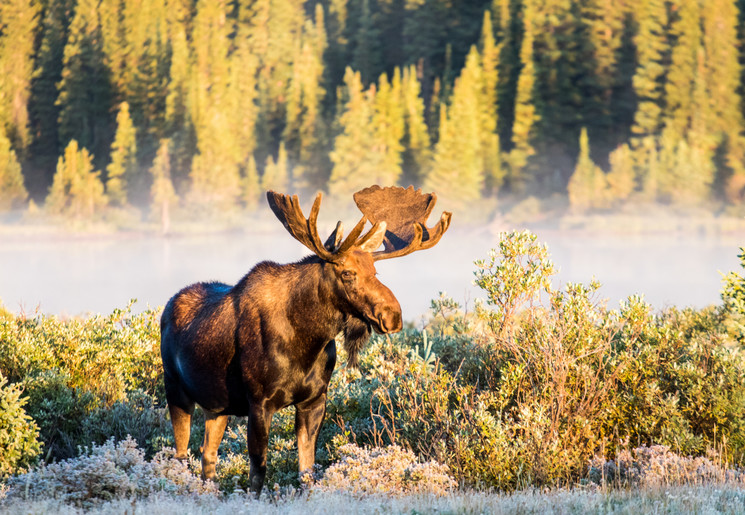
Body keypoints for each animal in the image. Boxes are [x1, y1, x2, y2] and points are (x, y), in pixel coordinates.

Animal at [160, 185, 450, 496]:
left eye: (375, 271)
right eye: (347, 273)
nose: (393, 316)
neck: (306, 341)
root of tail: (167, 306)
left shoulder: (314, 399)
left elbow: (307, 471)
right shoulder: (259, 402)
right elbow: (257, 474)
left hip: (217, 406)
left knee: (208, 457)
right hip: (176, 390)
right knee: (180, 455)